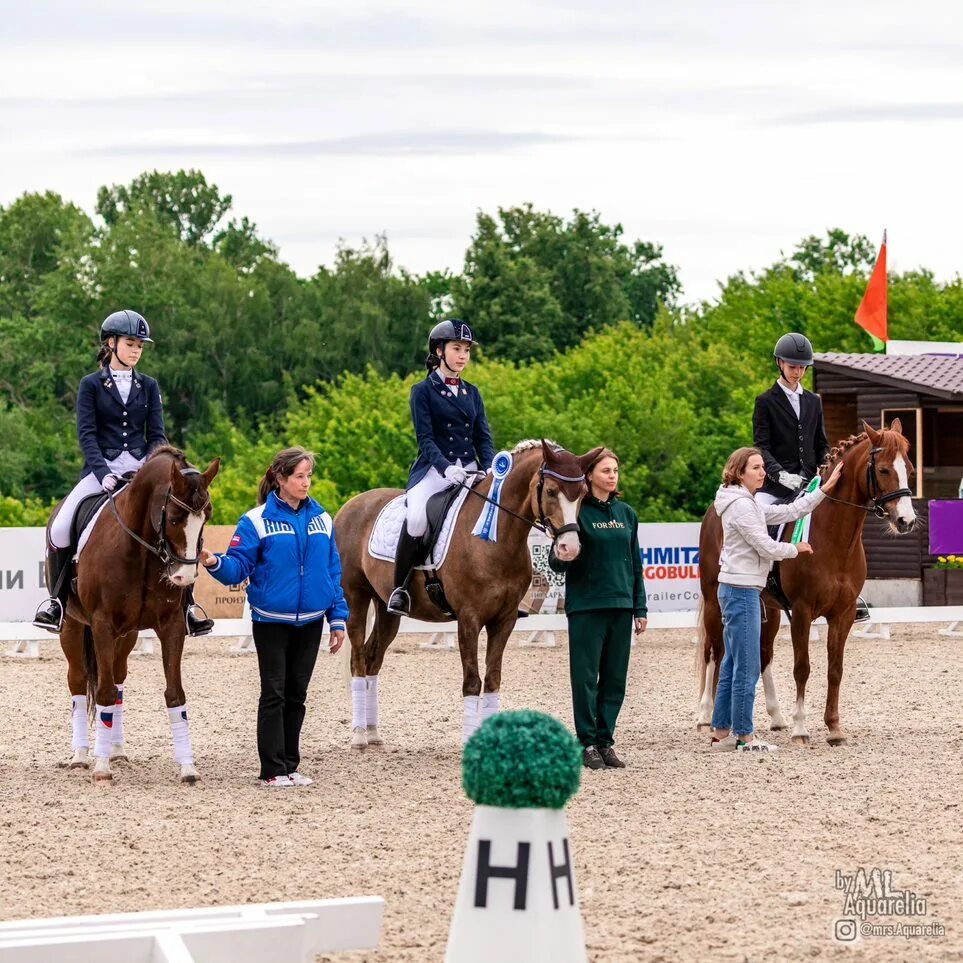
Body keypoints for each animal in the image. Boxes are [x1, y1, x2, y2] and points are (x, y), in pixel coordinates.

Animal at [53, 448, 220, 780]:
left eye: (206, 517)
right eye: (173, 517)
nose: (183, 577)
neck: (141, 549)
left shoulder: (171, 625)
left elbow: (175, 694)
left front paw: (188, 767)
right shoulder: (102, 624)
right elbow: (102, 692)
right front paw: (101, 768)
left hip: (127, 634)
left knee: (118, 680)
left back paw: (116, 750)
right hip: (74, 626)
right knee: (79, 682)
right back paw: (81, 755)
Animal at [336, 440, 600, 748]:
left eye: (582, 494)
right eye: (550, 491)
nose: (570, 548)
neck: (496, 539)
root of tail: (351, 505)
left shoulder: (505, 620)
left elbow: (493, 678)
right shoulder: (469, 619)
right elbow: (472, 681)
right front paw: (470, 739)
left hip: (386, 608)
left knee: (372, 658)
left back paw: (373, 731)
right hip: (356, 597)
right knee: (358, 660)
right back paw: (359, 735)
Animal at [696, 420, 916, 744]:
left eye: (910, 469)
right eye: (884, 470)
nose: (906, 521)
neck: (836, 540)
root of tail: (712, 512)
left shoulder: (843, 614)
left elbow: (835, 669)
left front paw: (834, 728)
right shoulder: (801, 611)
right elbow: (802, 667)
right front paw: (801, 727)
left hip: (769, 609)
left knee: (763, 655)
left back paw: (776, 717)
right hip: (714, 602)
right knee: (713, 652)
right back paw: (705, 716)